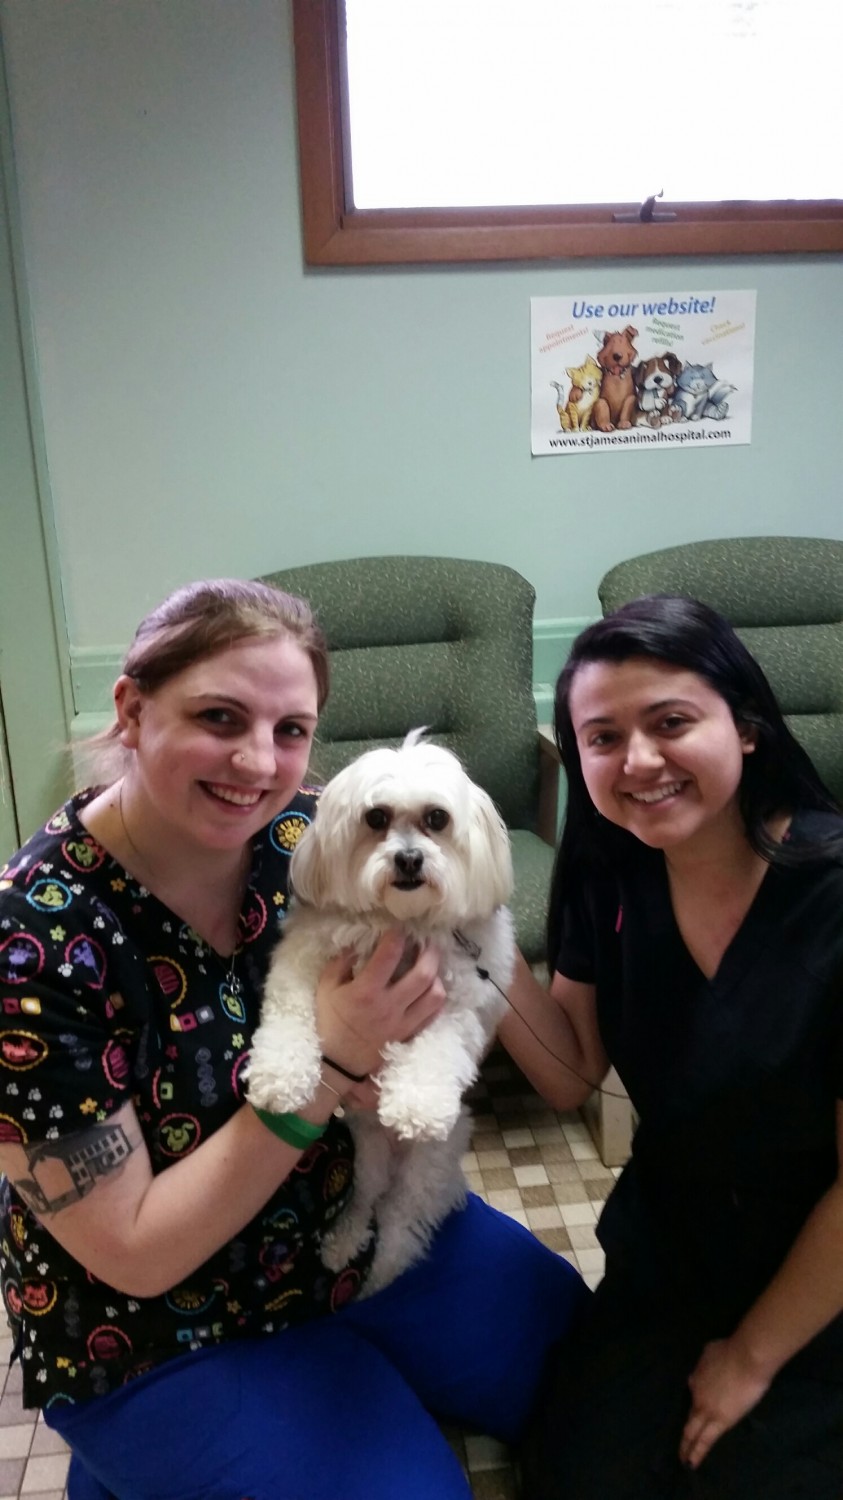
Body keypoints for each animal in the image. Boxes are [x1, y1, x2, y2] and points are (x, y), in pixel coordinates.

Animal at [244, 732, 513, 1296]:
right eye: (376, 818)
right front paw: (280, 1077)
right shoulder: (301, 960)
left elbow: (437, 1045)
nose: (409, 859)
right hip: (366, 1155)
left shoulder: (461, 999)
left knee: (399, 1226)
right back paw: (342, 1241)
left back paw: (379, 1281)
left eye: (437, 818)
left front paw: (417, 1104)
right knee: (365, 1201)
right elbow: (288, 1014)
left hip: (423, 1169)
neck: (399, 923)